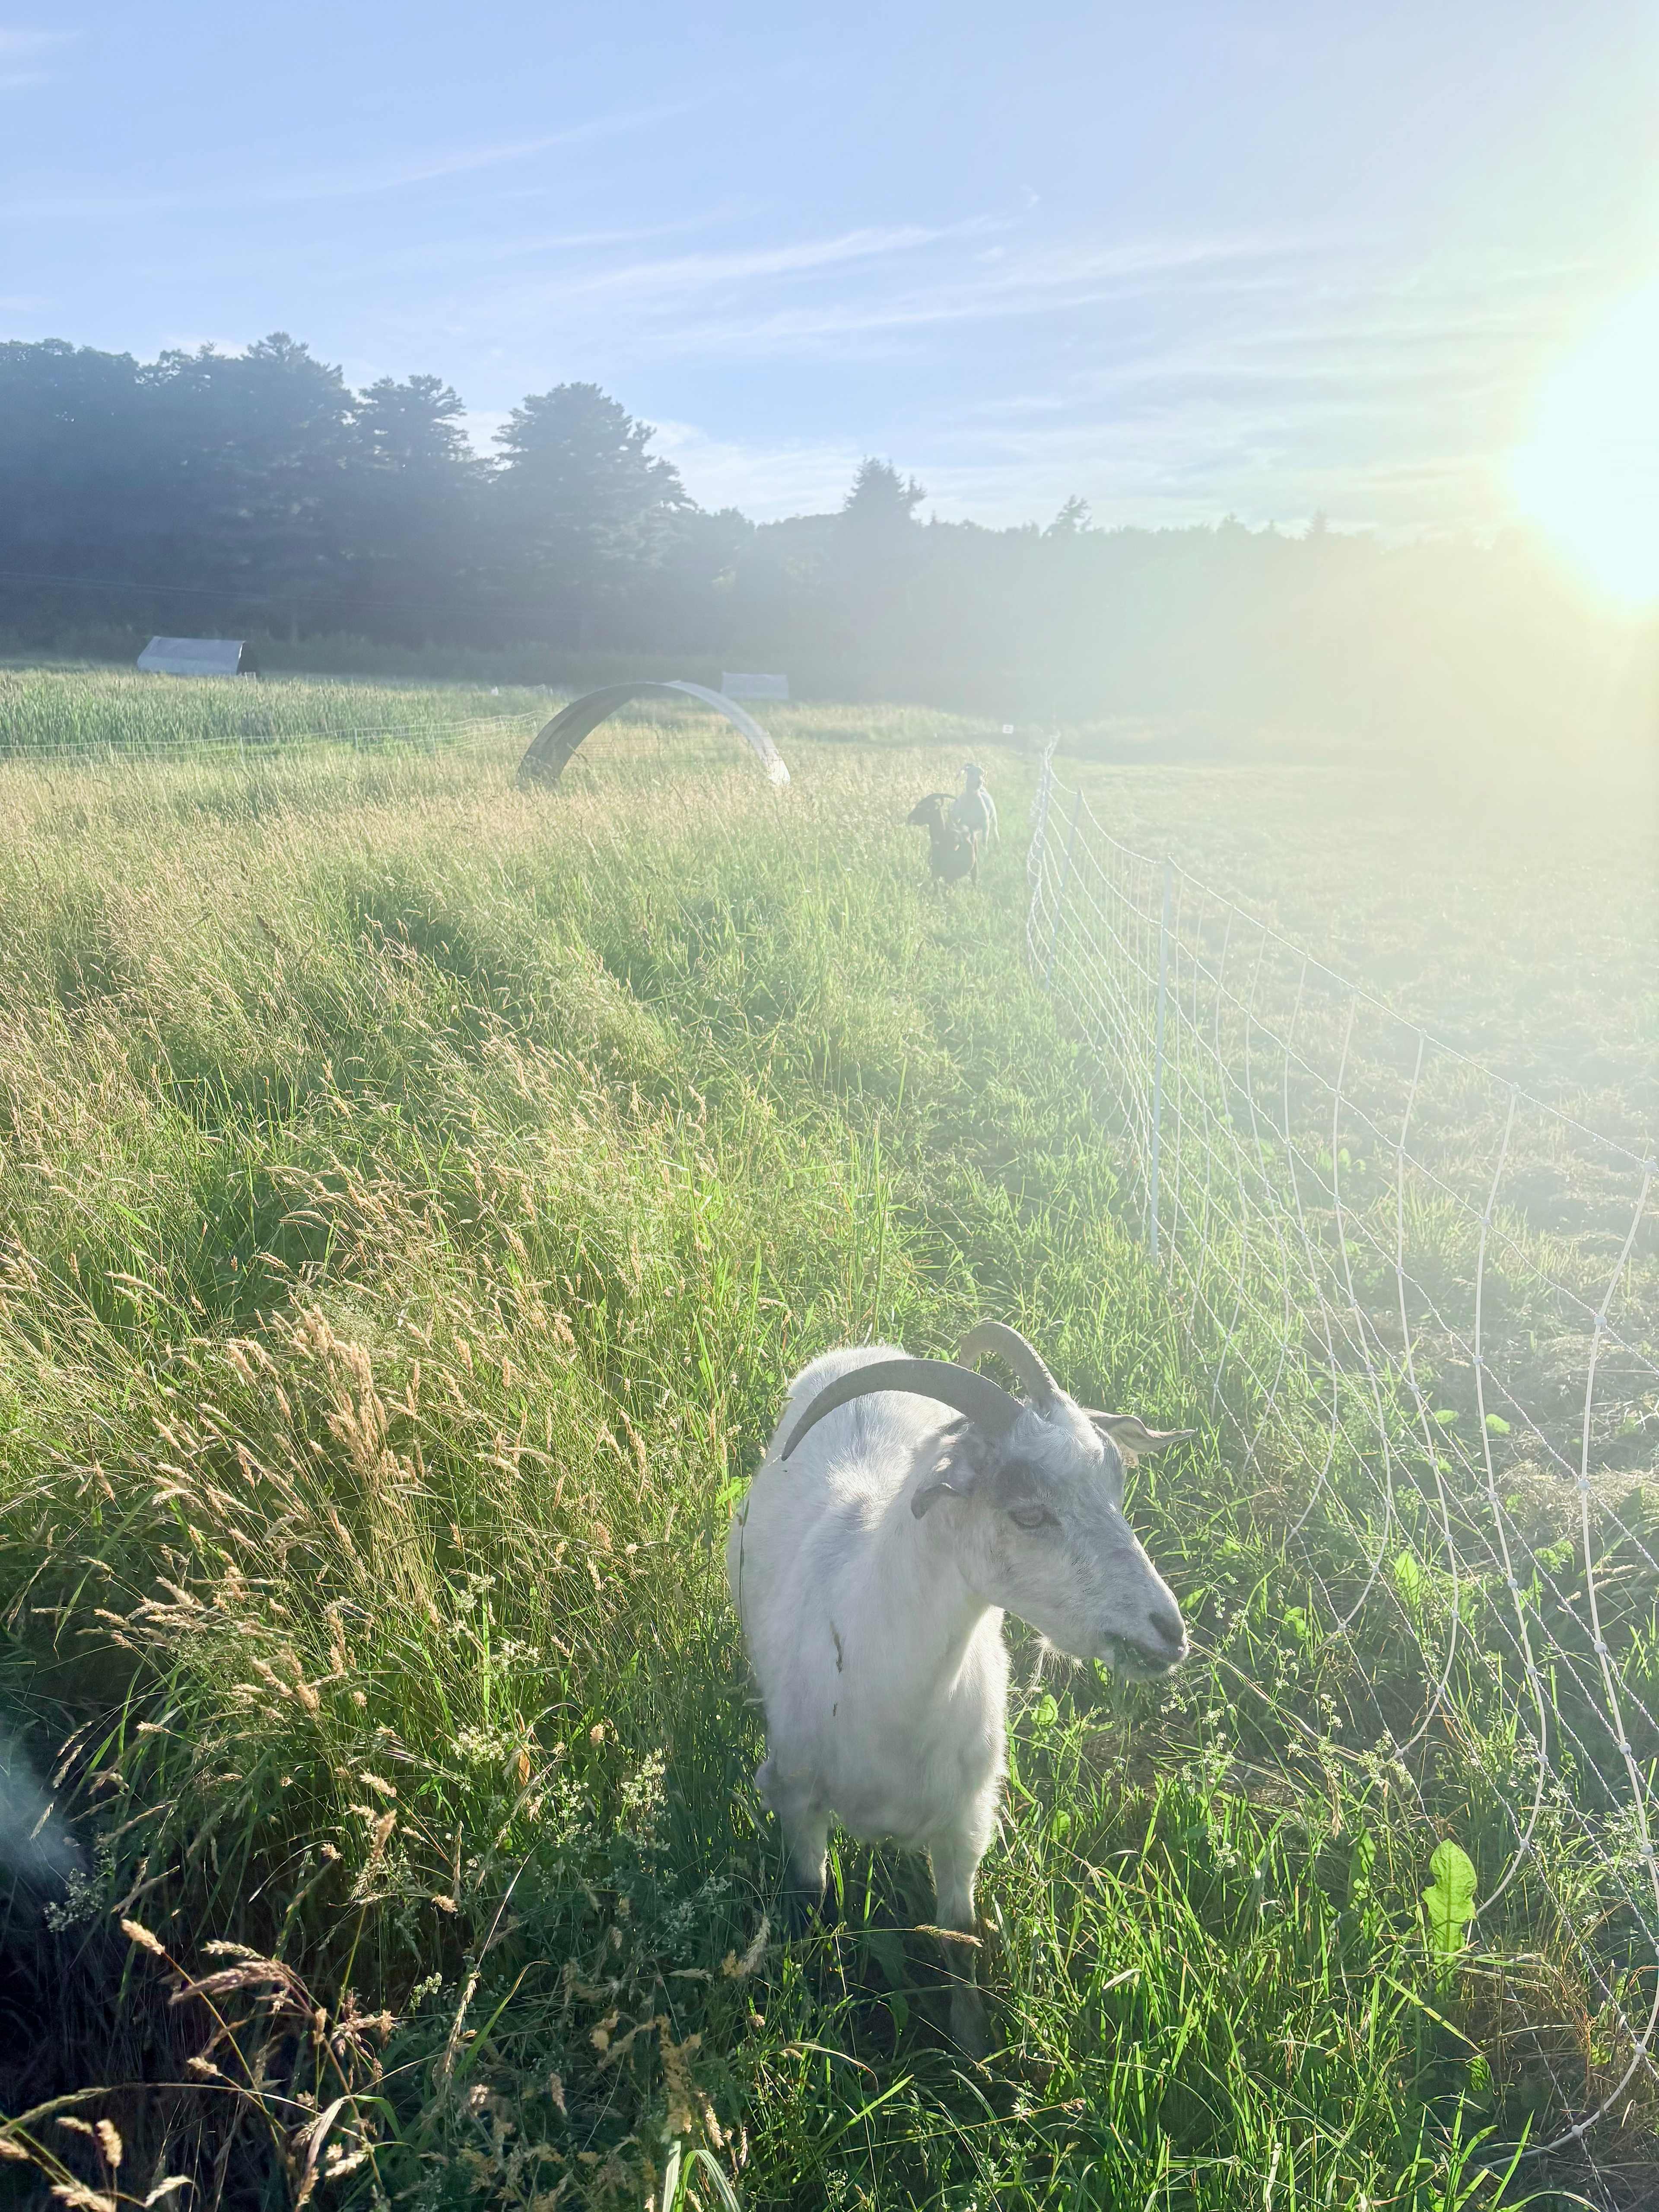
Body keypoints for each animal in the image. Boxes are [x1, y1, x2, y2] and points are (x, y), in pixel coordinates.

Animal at [726, 1320, 1192, 2053]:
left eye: (1117, 1487)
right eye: (1027, 1514)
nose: (1168, 1632)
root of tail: (864, 1349)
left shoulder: (966, 1826)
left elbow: (960, 1941)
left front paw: (973, 2052)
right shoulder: (795, 1797)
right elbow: (809, 1902)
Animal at [950, 762, 998, 852]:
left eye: (982, 774)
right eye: (971, 773)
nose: (980, 782)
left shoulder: (986, 825)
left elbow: (984, 842)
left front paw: (986, 852)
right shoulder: (967, 825)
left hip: (993, 817)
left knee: (995, 830)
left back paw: (997, 844)